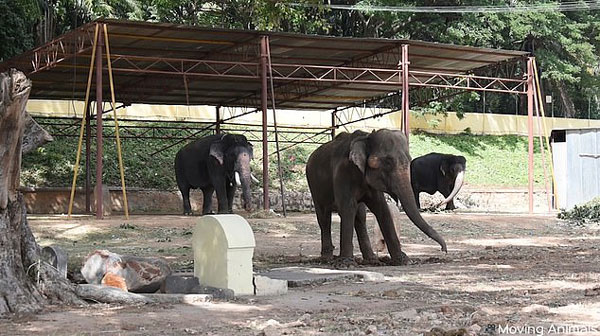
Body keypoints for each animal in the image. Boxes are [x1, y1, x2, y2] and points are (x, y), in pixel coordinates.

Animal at [308, 129, 448, 266]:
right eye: (388, 162)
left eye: (409, 160)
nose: (444, 250)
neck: (367, 136)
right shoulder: (343, 173)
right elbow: (348, 208)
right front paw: (346, 264)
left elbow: (382, 208)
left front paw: (404, 261)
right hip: (314, 186)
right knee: (324, 218)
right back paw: (327, 259)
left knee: (360, 216)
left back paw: (371, 260)